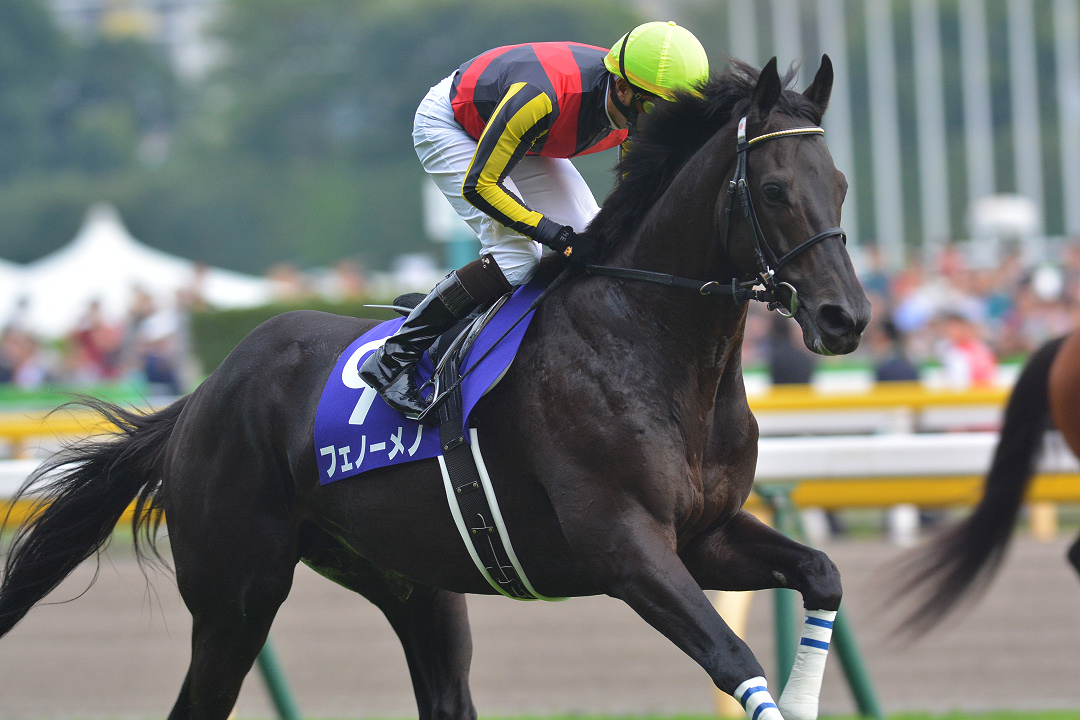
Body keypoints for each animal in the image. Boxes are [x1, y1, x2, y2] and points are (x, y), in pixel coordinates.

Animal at [0, 57, 864, 720]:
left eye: (842, 185)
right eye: (777, 190)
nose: (846, 317)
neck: (652, 344)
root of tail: (199, 399)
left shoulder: (702, 536)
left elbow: (824, 572)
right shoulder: (624, 548)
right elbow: (733, 655)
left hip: (411, 582)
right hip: (235, 595)